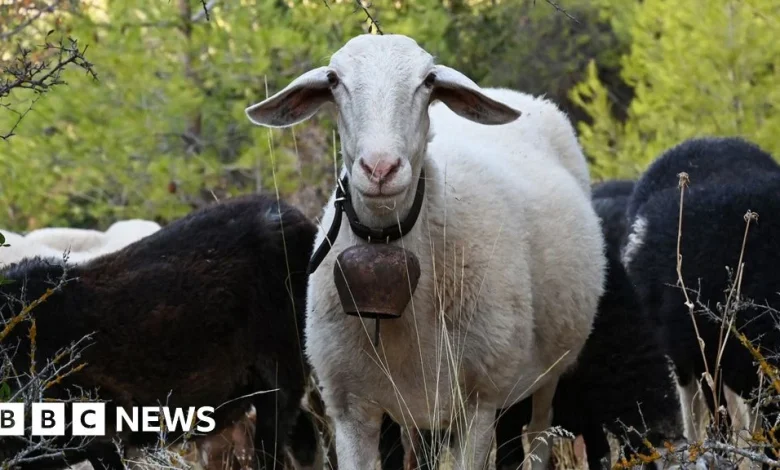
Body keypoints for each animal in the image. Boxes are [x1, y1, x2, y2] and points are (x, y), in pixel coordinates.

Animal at [244, 33, 606, 470]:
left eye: (429, 80)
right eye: (333, 80)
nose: (380, 168)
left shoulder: (478, 405)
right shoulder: (349, 407)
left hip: (545, 371)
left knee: (538, 432)